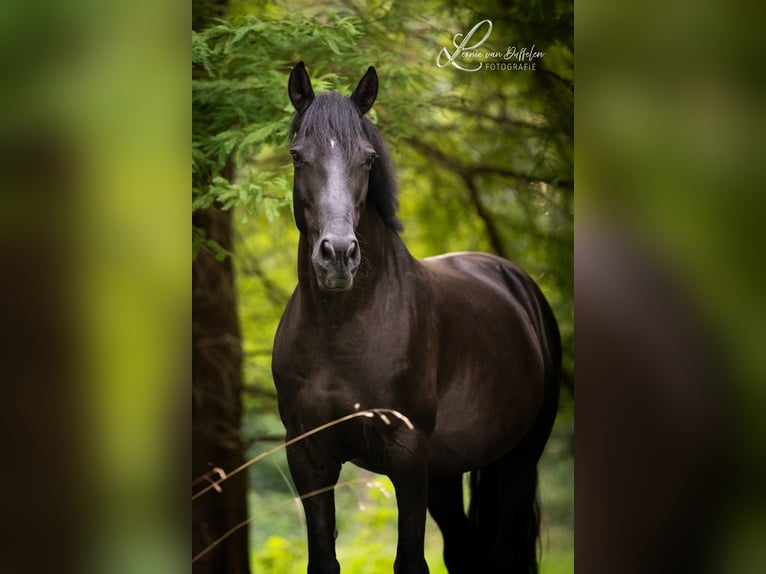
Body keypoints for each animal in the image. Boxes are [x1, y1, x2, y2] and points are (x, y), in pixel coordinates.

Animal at [272, 63, 560, 574]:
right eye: (297, 156)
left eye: (368, 159)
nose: (338, 256)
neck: (342, 328)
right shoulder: (308, 457)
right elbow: (323, 559)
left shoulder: (406, 458)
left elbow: (410, 560)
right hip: (446, 470)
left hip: (519, 462)